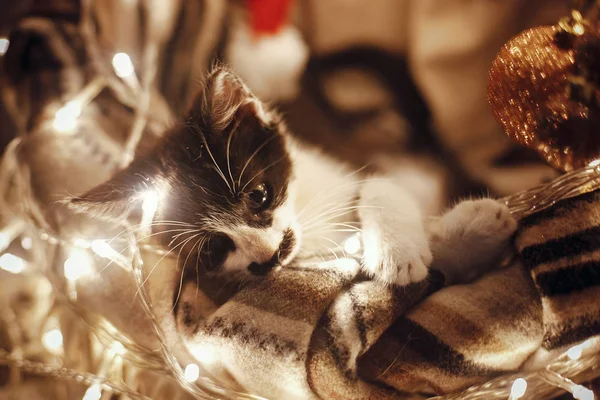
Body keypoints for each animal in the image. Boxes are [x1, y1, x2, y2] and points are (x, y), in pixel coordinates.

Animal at [70, 67, 516, 288]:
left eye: (259, 195)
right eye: (214, 250)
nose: (267, 258)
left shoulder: (360, 165)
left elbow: (380, 183)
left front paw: (400, 252)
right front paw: (470, 238)